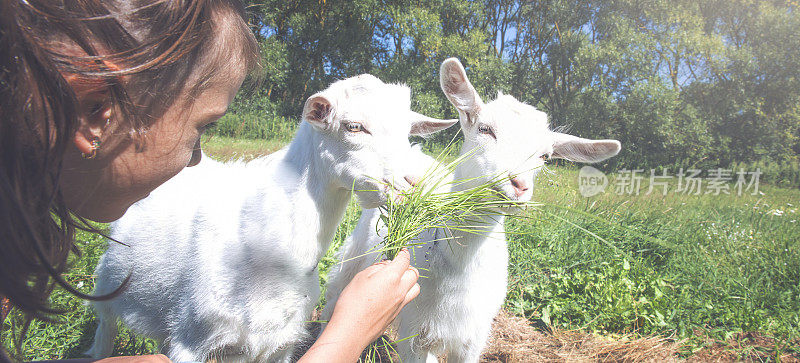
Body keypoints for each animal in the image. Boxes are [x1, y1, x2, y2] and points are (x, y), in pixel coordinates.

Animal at [86, 74, 456, 363]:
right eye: (354, 126)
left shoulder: (280, 341)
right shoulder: (191, 340)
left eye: (409, 132)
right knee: (105, 325)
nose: (414, 183)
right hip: (109, 281)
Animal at [322, 58, 620, 362]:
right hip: (352, 256)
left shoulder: (472, 337)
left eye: (545, 156)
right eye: (485, 129)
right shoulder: (414, 335)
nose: (519, 185)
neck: (458, 268)